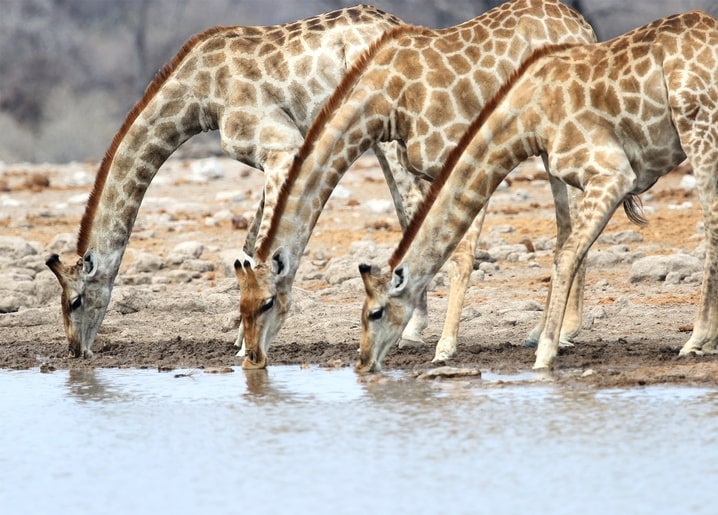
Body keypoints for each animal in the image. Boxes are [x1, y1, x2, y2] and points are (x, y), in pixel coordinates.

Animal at [43, 5, 410, 358]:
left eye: (74, 300)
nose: (75, 350)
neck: (199, 95)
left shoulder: (283, 148)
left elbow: (263, 245)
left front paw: (249, 343)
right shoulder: (282, 155)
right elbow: (249, 245)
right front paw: (241, 336)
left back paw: (411, 336)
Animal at [235, 0, 596, 370]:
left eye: (266, 302)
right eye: (241, 303)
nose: (251, 357)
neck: (386, 101)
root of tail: (582, 25)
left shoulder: (457, 159)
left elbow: (458, 254)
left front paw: (444, 346)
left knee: (570, 226)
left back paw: (564, 331)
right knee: (566, 227)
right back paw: (541, 332)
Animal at [358, 10, 718, 372]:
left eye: (375, 312)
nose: (363, 361)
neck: (527, 113)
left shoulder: (611, 174)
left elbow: (566, 256)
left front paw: (545, 352)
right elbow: (566, 249)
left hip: (699, 130)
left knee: (711, 222)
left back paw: (697, 339)